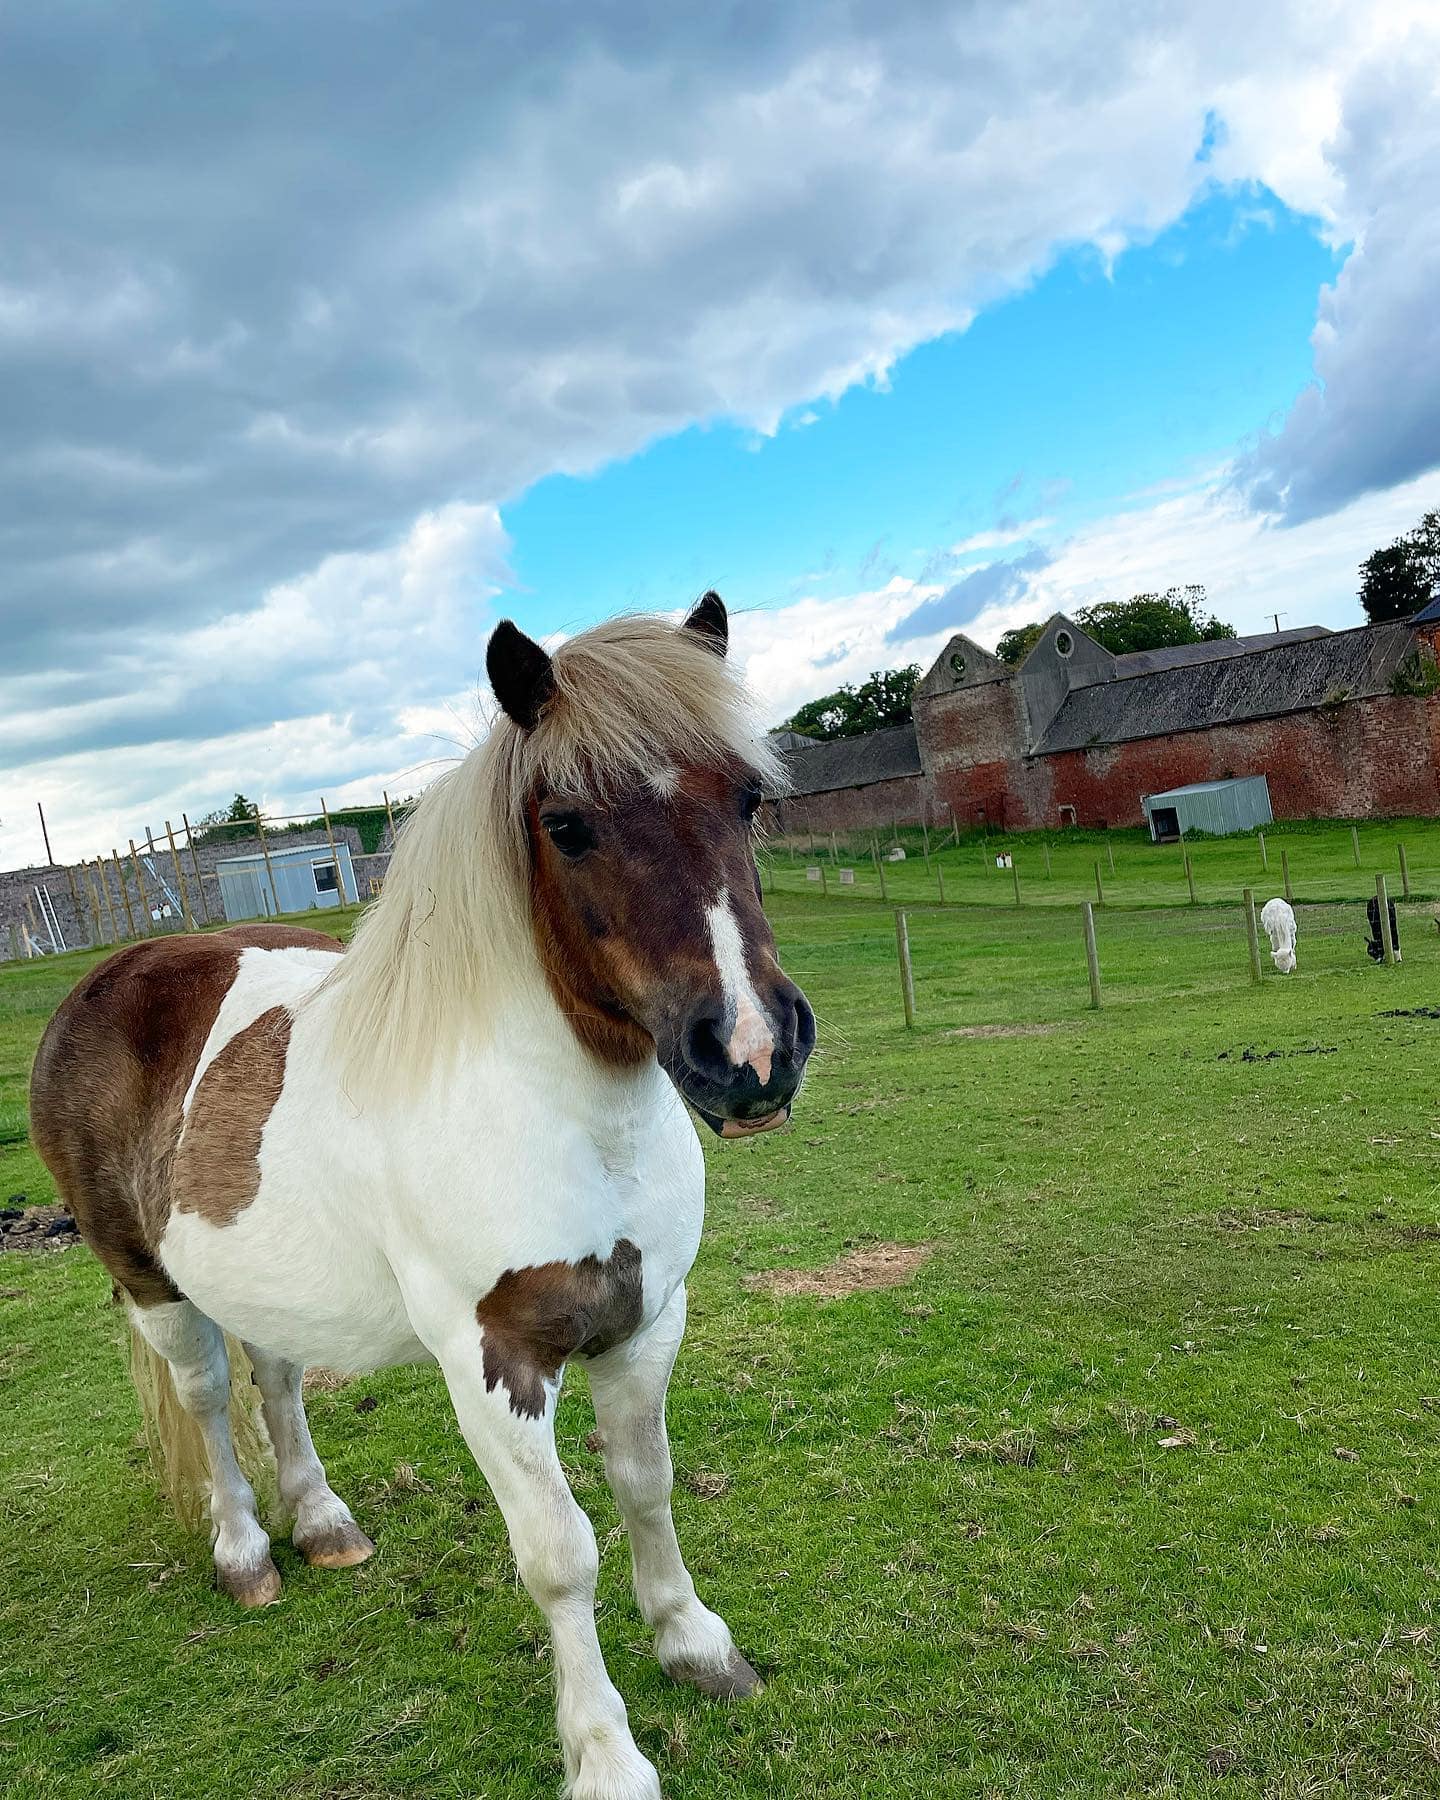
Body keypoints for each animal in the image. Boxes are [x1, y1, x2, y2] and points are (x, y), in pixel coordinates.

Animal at [28, 601, 810, 1800]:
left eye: (748, 799)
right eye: (567, 824)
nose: (753, 1052)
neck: (563, 1119)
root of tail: (116, 971)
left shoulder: (645, 1324)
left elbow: (648, 1485)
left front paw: (695, 1645)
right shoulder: (493, 1365)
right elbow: (560, 1554)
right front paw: (605, 1754)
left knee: (278, 1378)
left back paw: (321, 1522)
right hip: (148, 1279)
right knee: (207, 1397)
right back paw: (245, 1551)